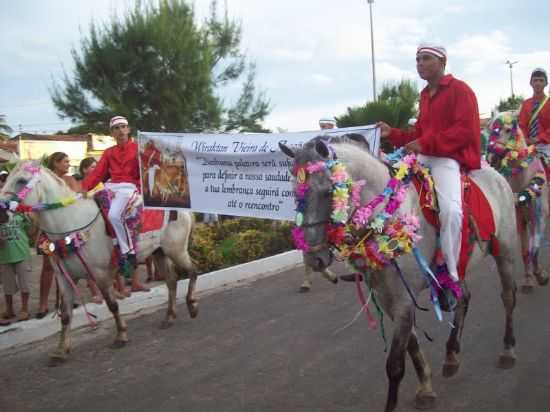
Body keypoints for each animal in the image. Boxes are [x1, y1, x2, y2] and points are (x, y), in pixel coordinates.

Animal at [282, 138, 524, 412]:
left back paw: (507, 350)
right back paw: (452, 355)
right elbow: (412, 346)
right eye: (295, 194)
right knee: (463, 298)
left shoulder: (403, 301)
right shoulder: (389, 299)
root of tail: (494, 173)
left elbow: (395, 365)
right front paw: (426, 386)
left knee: (508, 296)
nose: (314, 258)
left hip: (504, 252)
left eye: (327, 191)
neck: (390, 217)